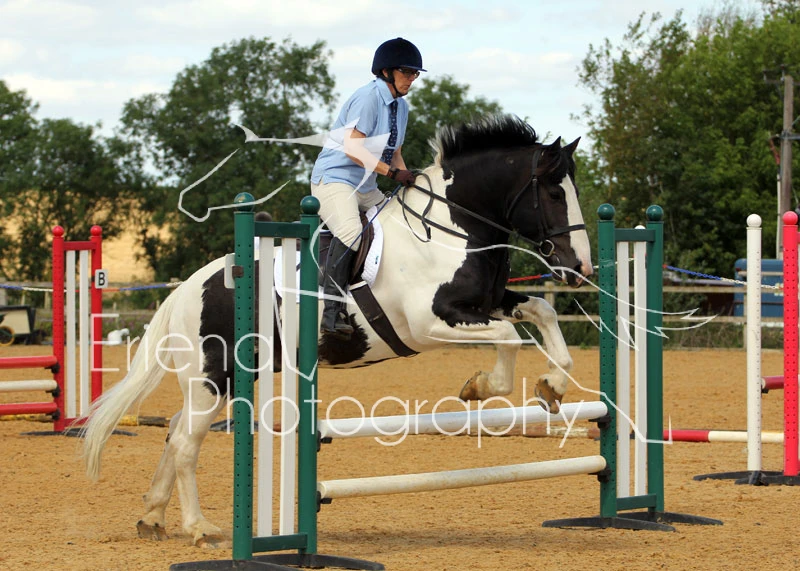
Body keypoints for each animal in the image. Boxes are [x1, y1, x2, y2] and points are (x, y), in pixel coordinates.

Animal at [79, 114, 593, 547]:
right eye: (553, 194)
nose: (579, 269)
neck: (450, 229)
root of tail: (188, 288)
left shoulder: (488, 303)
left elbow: (542, 316)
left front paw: (551, 387)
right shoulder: (431, 322)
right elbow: (509, 340)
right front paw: (480, 387)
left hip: (221, 378)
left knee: (175, 431)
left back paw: (153, 517)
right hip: (214, 375)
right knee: (186, 442)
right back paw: (199, 528)